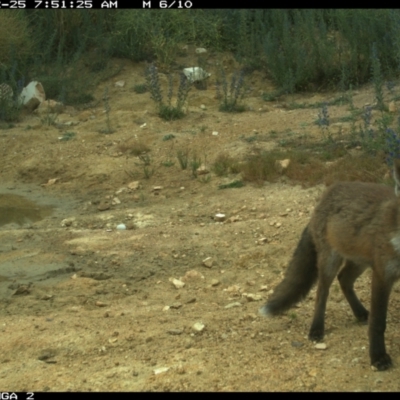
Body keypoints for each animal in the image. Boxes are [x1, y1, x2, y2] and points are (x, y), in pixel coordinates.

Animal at [260, 159, 400, 372]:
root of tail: (326, 195)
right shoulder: (383, 275)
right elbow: (378, 322)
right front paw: (378, 357)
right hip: (330, 262)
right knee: (322, 293)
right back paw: (317, 329)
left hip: (360, 262)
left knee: (344, 279)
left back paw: (360, 313)